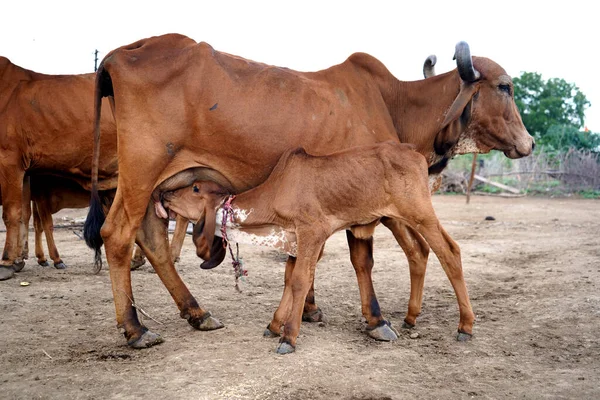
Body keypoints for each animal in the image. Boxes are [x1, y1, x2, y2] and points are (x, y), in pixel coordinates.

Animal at [161, 142, 474, 354]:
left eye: (195, 189)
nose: (164, 193)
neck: (276, 194)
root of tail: (415, 153)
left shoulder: (312, 232)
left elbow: (300, 280)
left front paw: (288, 337)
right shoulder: (297, 239)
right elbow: (290, 279)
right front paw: (275, 325)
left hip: (421, 214)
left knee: (450, 252)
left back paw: (465, 326)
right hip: (398, 218)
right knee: (419, 252)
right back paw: (410, 318)